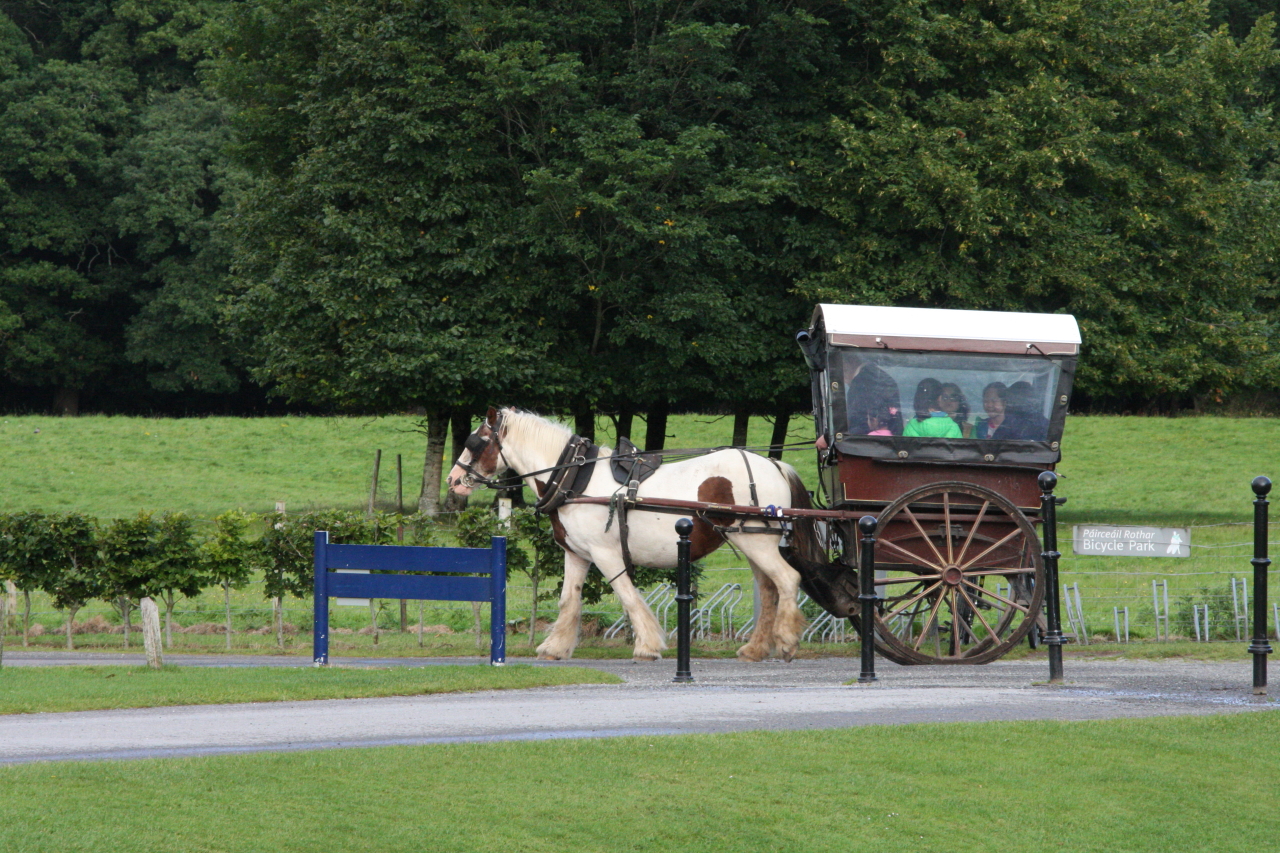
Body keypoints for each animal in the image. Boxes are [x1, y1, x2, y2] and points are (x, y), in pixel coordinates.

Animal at [445, 409, 814, 660]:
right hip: (748, 541)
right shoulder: (576, 553)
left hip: (756, 541)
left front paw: (648, 646)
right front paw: (556, 646)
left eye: (475, 442)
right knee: (768, 589)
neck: (574, 478)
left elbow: (628, 596)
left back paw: (785, 640)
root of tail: (774, 464)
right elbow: (569, 599)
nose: (452, 480)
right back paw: (755, 648)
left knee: (787, 579)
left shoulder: (605, 554)